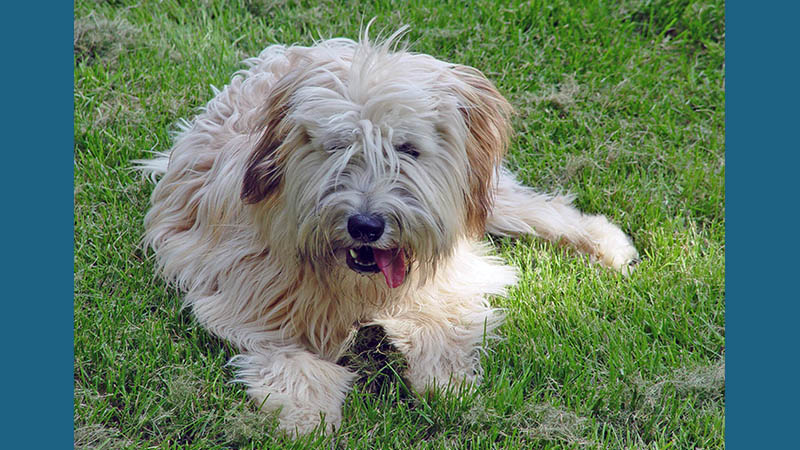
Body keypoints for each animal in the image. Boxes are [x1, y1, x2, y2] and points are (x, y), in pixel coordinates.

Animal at [136, 28, 636, 436]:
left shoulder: (445, 277)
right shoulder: (246, 299)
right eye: (338, 145)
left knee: (538, 209)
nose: (366, 225)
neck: (360, 288)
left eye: (407, 149)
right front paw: (307, 416)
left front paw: (446, 382)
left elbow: (441, 322)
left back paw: (607, 244)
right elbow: (289, 359)